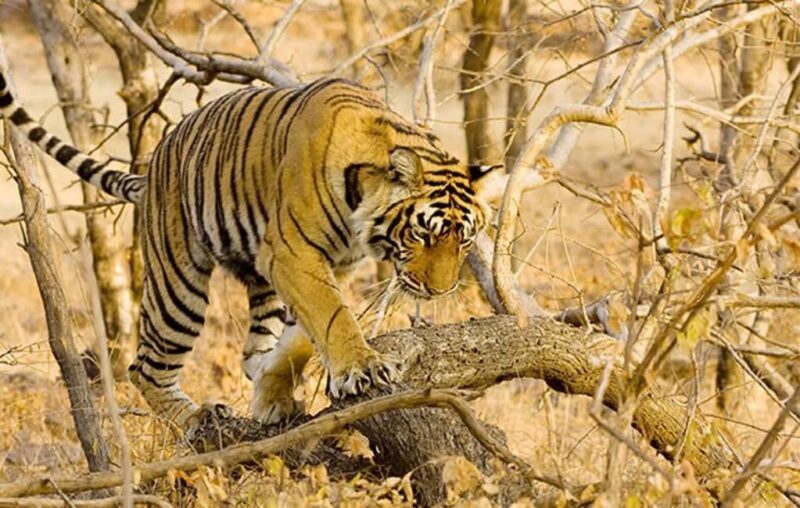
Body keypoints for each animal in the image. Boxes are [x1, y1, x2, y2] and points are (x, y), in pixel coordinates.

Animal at [0, 71, 504, 427]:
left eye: (464, 239)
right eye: (423, 234)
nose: (439, 292)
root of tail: (153, 166)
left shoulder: (325, 265)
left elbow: (302, 338)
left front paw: (273, 396)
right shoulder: (293, 253)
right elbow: (333, 316)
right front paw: (362, 367)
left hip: (259, 281)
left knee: (249, 351)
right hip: (177, 289)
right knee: (144, 367)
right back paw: (196, 417)